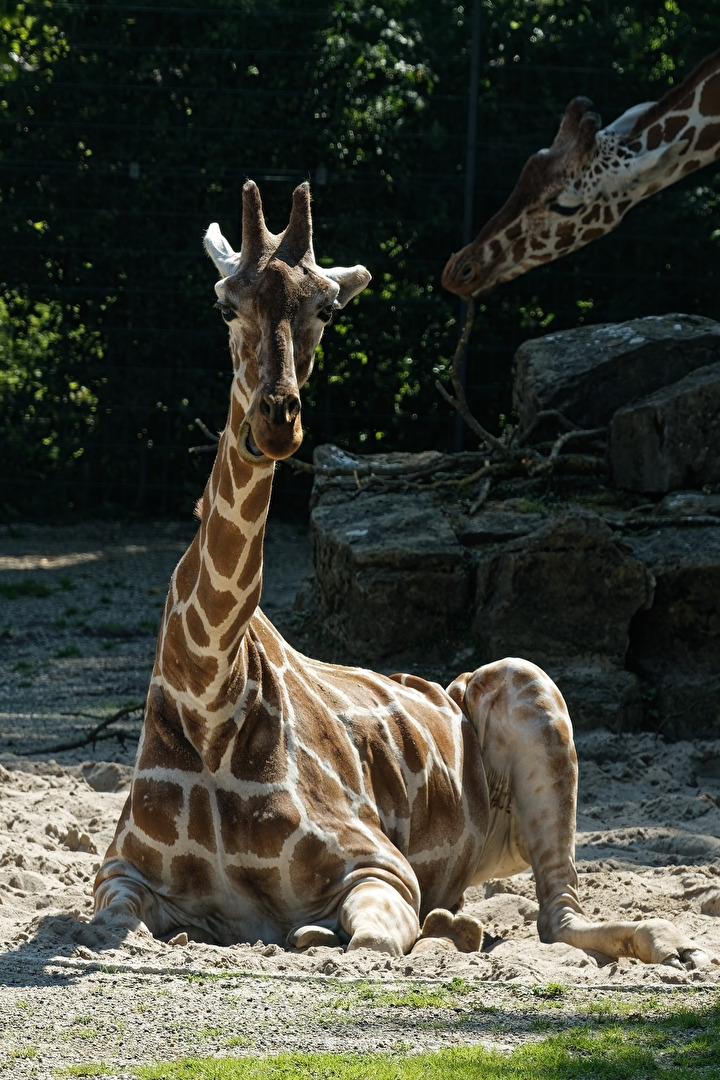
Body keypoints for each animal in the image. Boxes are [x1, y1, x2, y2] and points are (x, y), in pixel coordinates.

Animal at [93, 180, 707, 967]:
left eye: (327, 309)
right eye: (225, 303)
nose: (277, 419)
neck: (206, 689)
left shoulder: (378, 864)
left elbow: (371, 944)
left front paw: (331, 933)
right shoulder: (117, 876)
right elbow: (108, 930)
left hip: (529, 683)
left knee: (556, 916)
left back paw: (665, 941)